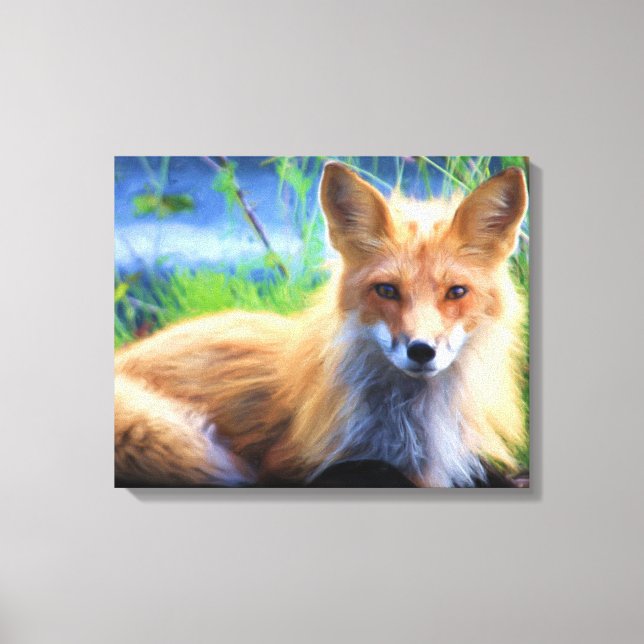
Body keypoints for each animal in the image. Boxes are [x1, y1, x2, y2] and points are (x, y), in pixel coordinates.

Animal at [115, 161, 528, 487]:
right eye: (387, 290)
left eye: (456, 292)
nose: (421, 351)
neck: (411, 430)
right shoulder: (287, 465)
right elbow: (371, 469)